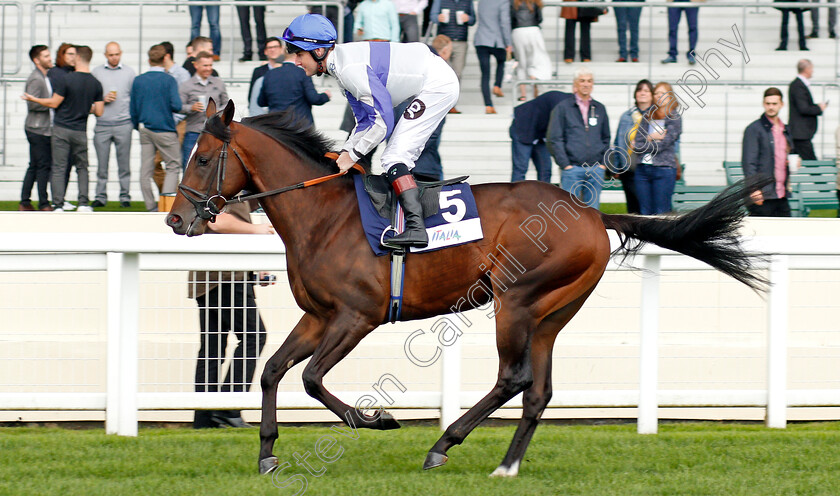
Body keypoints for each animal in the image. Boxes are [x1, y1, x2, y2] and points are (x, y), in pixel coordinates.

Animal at [164, 100, 768, 476]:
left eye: (202, 157)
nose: (175, 219)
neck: (324, 215)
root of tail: (593, 214)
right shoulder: (318, 316)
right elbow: (271, 371)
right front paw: (267, 454)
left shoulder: (357, 317)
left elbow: (311, 378)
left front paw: (374, 418)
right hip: (552, 312)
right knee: (539, 390)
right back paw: (506, 465)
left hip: (517, 299)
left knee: (513, 378)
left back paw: (442, 445)